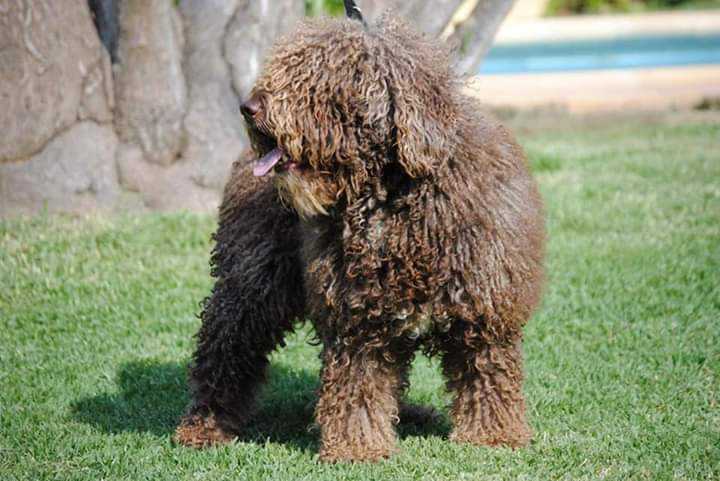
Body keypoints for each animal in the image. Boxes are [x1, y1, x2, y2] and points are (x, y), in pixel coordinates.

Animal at [174, 11, 544, 462]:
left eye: (316, 80)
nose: (248, 107)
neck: (394, 197)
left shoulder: (483, 307)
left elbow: (486, 373)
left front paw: (493, 435)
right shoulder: (357, 320)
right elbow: (357, 387)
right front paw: (358, 447)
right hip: (252, 282)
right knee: (225, 351)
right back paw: (205, 425)